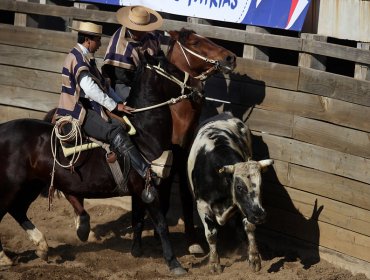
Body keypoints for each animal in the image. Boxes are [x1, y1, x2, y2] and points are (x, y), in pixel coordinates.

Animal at [0, 51, 204, 274]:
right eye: (173, 69)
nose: (199, 87)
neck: (145, 135)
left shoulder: (138, 191)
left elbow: (138, 220)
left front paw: (137, 251)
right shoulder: (149, 188)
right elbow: (160, 224)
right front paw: (174, 263)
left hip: (32, 185)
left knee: (18, 210)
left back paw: (42, 246)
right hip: (12, 186)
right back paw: (6, 257)